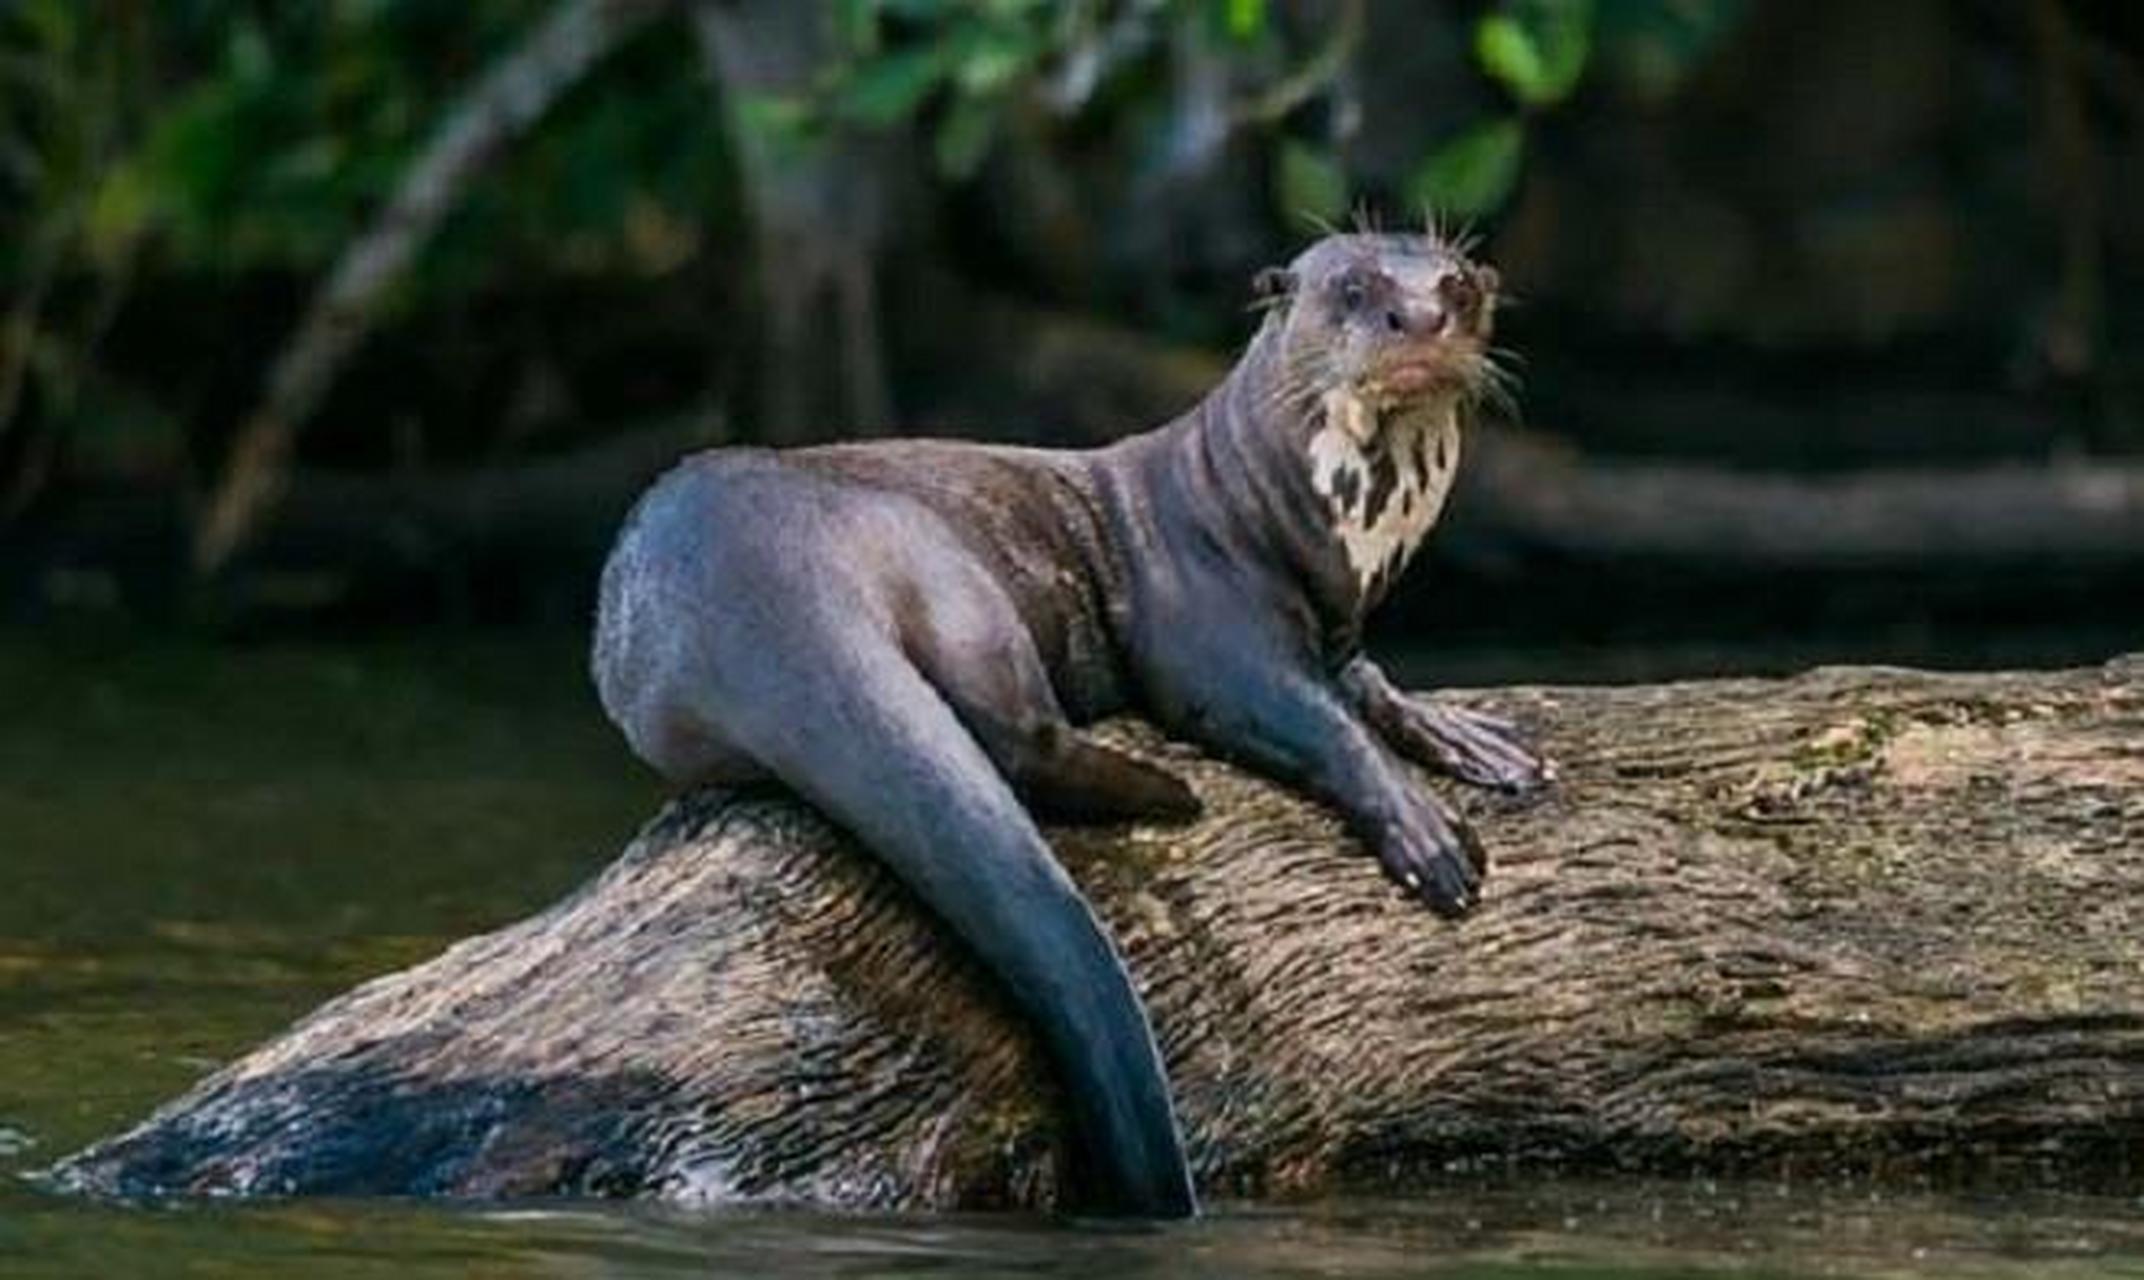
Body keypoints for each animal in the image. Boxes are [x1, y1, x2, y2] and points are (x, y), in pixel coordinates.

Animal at [596, 229, 1552, 1217]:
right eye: (1355, 288)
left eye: (1457, 284)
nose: (1421, 317)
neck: (1293, 519)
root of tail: (747, 578)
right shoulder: (1206, 629)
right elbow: (1310, 717)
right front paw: (1425, 832)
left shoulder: (1339, 629)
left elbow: (1365, 682)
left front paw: (1468, 737)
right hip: (947, 569)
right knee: (1016, 736)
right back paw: (1167, 793)